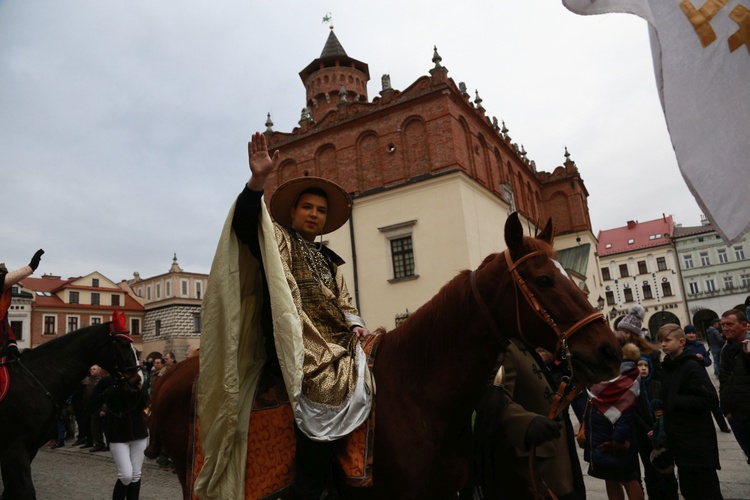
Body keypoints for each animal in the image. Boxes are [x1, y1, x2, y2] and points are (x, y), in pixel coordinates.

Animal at [0, 322, 142, 498]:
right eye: (123, 344)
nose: (139, 381)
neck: (35, 380)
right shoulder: (14, 447)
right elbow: (25, 490)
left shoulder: (29, 448)